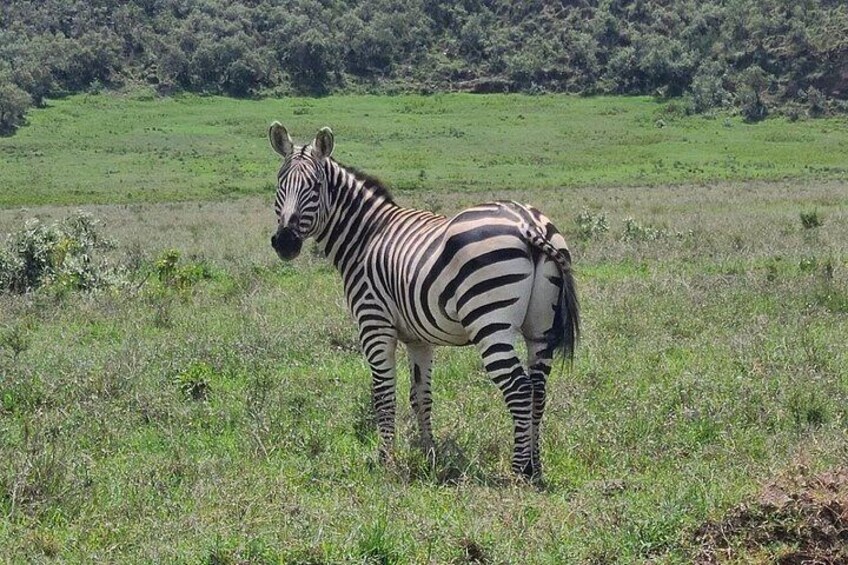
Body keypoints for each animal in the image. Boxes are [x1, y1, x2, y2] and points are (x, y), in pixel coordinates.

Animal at [268, 124, 579, 479]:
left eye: (316, 186)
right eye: (280, 183)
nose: (285, 242)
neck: (366, 236)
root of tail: (528, 222)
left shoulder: (375, 324)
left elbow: (384, 395)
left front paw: (386, 459)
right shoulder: (419, 339)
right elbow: (421, 396)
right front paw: (428, 453)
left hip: (490, 322)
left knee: (519, 390)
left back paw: (519, 471)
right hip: (540, 328)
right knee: (538, 391)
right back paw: (536, 468)